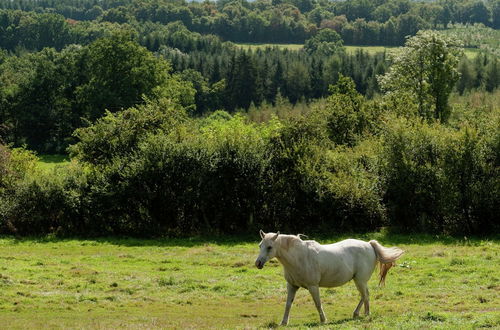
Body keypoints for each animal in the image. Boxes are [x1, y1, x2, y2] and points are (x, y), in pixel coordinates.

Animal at [256, 231, 404, 326]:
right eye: (260, 245)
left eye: (269, 247)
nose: (258, 263)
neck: (299, 257)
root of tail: (369, 244)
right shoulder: (292, 286)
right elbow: (288, 304)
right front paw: (284, 322)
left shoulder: (313, 286)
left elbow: (318, 303)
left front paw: (323, 320)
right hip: (359, 281)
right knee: (365, 295)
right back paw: (356, 313)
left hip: (360, 280)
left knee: (365, 296)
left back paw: (366, 314)